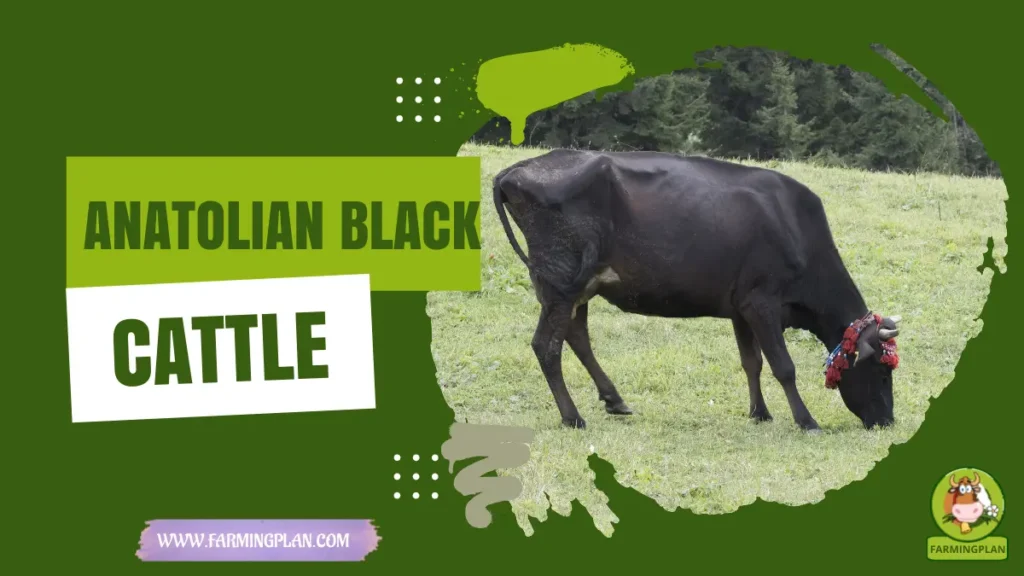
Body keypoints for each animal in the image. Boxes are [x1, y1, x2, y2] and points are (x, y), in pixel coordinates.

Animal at [491, 148, 903, 432]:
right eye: (883, 372)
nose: (887, 421)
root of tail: (515, 171)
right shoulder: (762, 301)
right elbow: (783, 367)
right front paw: (806, 421)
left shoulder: (741, 306)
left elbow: (751, 362)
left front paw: (760, 413)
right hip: (561, 280)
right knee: (547, 345)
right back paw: (573, 416)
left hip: (577, 285)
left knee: (576, 337)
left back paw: (615, 400)